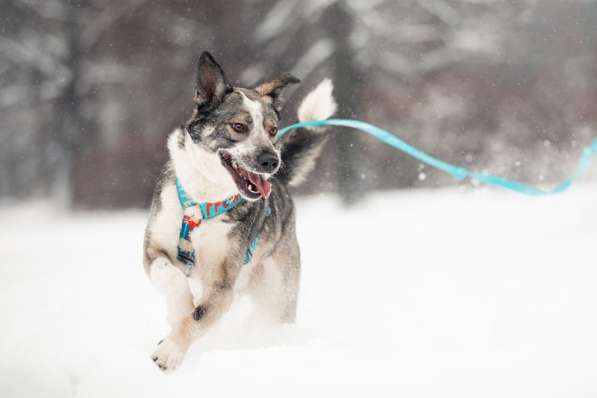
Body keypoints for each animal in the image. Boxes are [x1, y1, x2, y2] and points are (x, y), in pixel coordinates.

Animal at [141, 51, 336, 372]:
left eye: (272, 130)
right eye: (239, 127)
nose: (272, 160)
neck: (203, 202)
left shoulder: (223, 284)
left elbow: (199, 317)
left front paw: (171, 350)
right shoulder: (153, 250)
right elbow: (175, 280)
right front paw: (178, 311)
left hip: (277, 293)